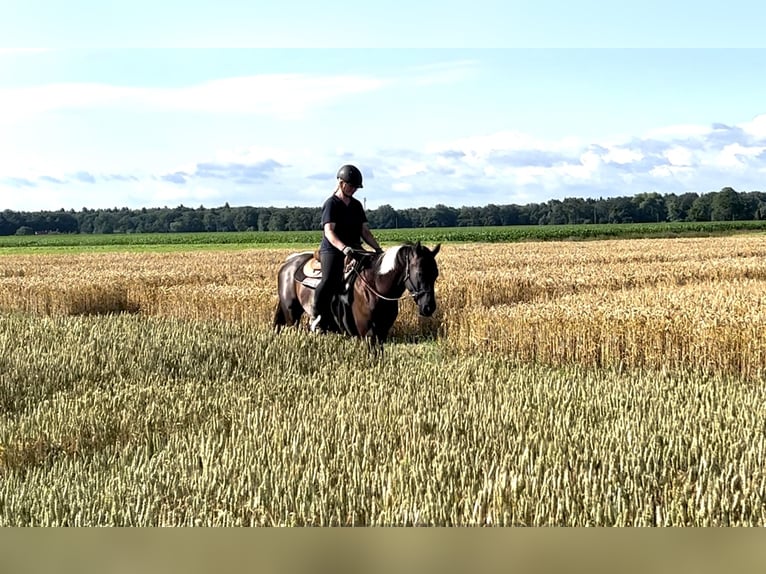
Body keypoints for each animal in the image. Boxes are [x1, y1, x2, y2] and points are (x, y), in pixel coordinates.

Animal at [276, 242, 444, 346]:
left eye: (436, 274)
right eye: (420, 273)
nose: (429, 307)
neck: (374, 285)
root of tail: (288, 263)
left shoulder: (382, 331)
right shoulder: (368, 333)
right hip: (291, 315)